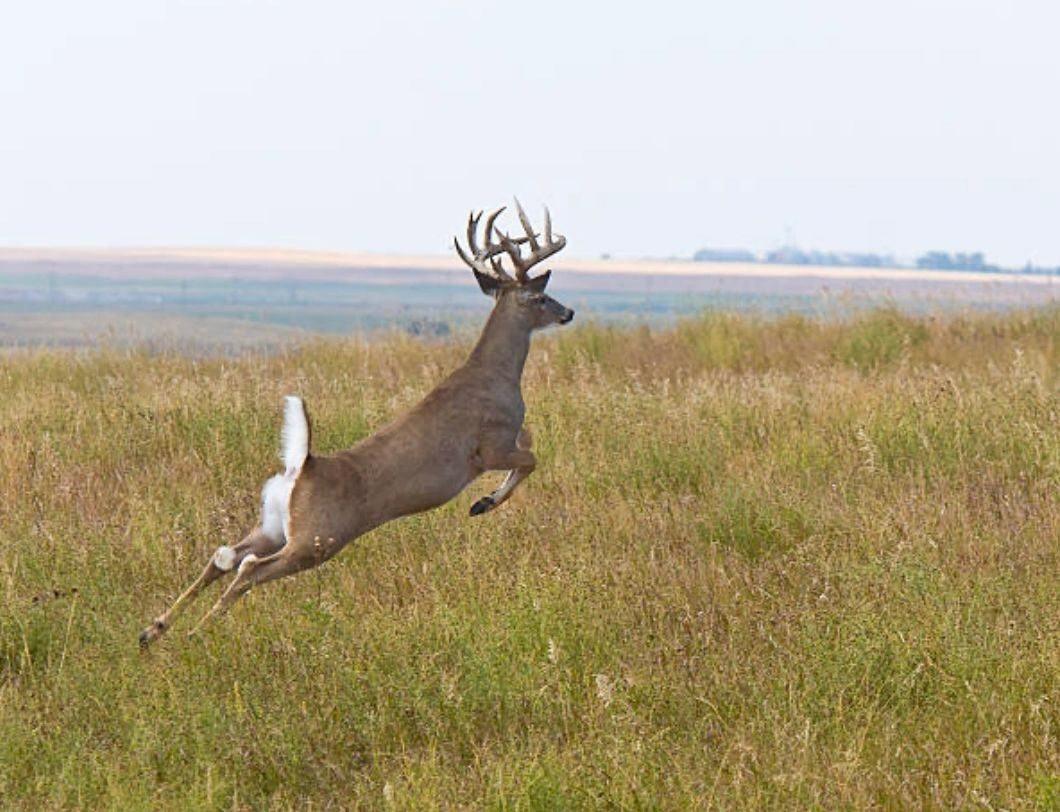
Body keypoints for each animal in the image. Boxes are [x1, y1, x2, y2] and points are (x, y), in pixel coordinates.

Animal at [138, 200, 574, 647]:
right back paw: (195, 634)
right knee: (247, 569)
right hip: (316, 540)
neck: (495, 374)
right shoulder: (490, 446)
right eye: (540, 296)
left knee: (222, 556)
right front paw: (482, 503)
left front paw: (482, 502)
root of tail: (302, 466)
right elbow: (532, 457)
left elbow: (531, 444)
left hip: (274, 525)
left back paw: (152, 631)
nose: (568, 312)